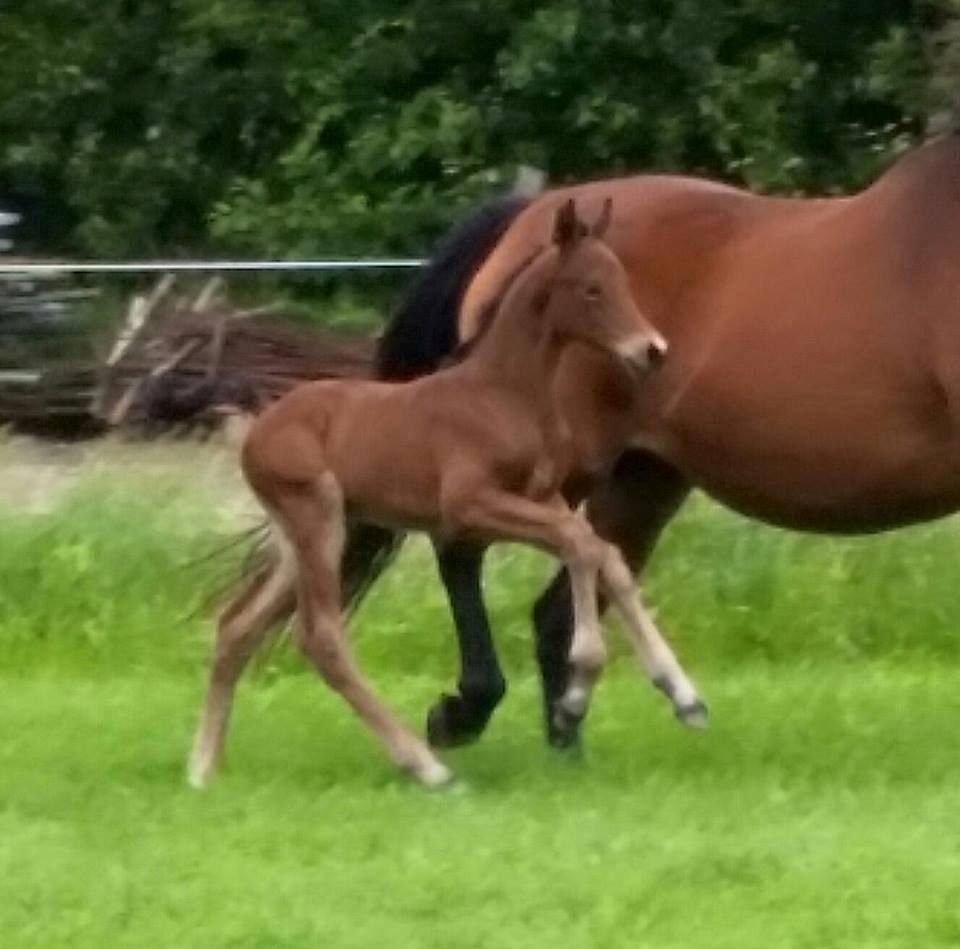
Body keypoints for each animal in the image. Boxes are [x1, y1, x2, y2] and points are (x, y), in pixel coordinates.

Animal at [188, 200, 704, 784]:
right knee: (319, 636)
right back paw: (428, 767)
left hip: (304, 536)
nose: (653, 350)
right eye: (591, 289)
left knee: (236, 625)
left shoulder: (541, 498)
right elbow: (581, 544)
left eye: (621, 280)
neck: (502, 393)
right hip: (316, 517)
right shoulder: (469, 507)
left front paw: (683, 695)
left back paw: (203, 768)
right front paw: (581, 678)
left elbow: (603, 553)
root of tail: (256, 429)